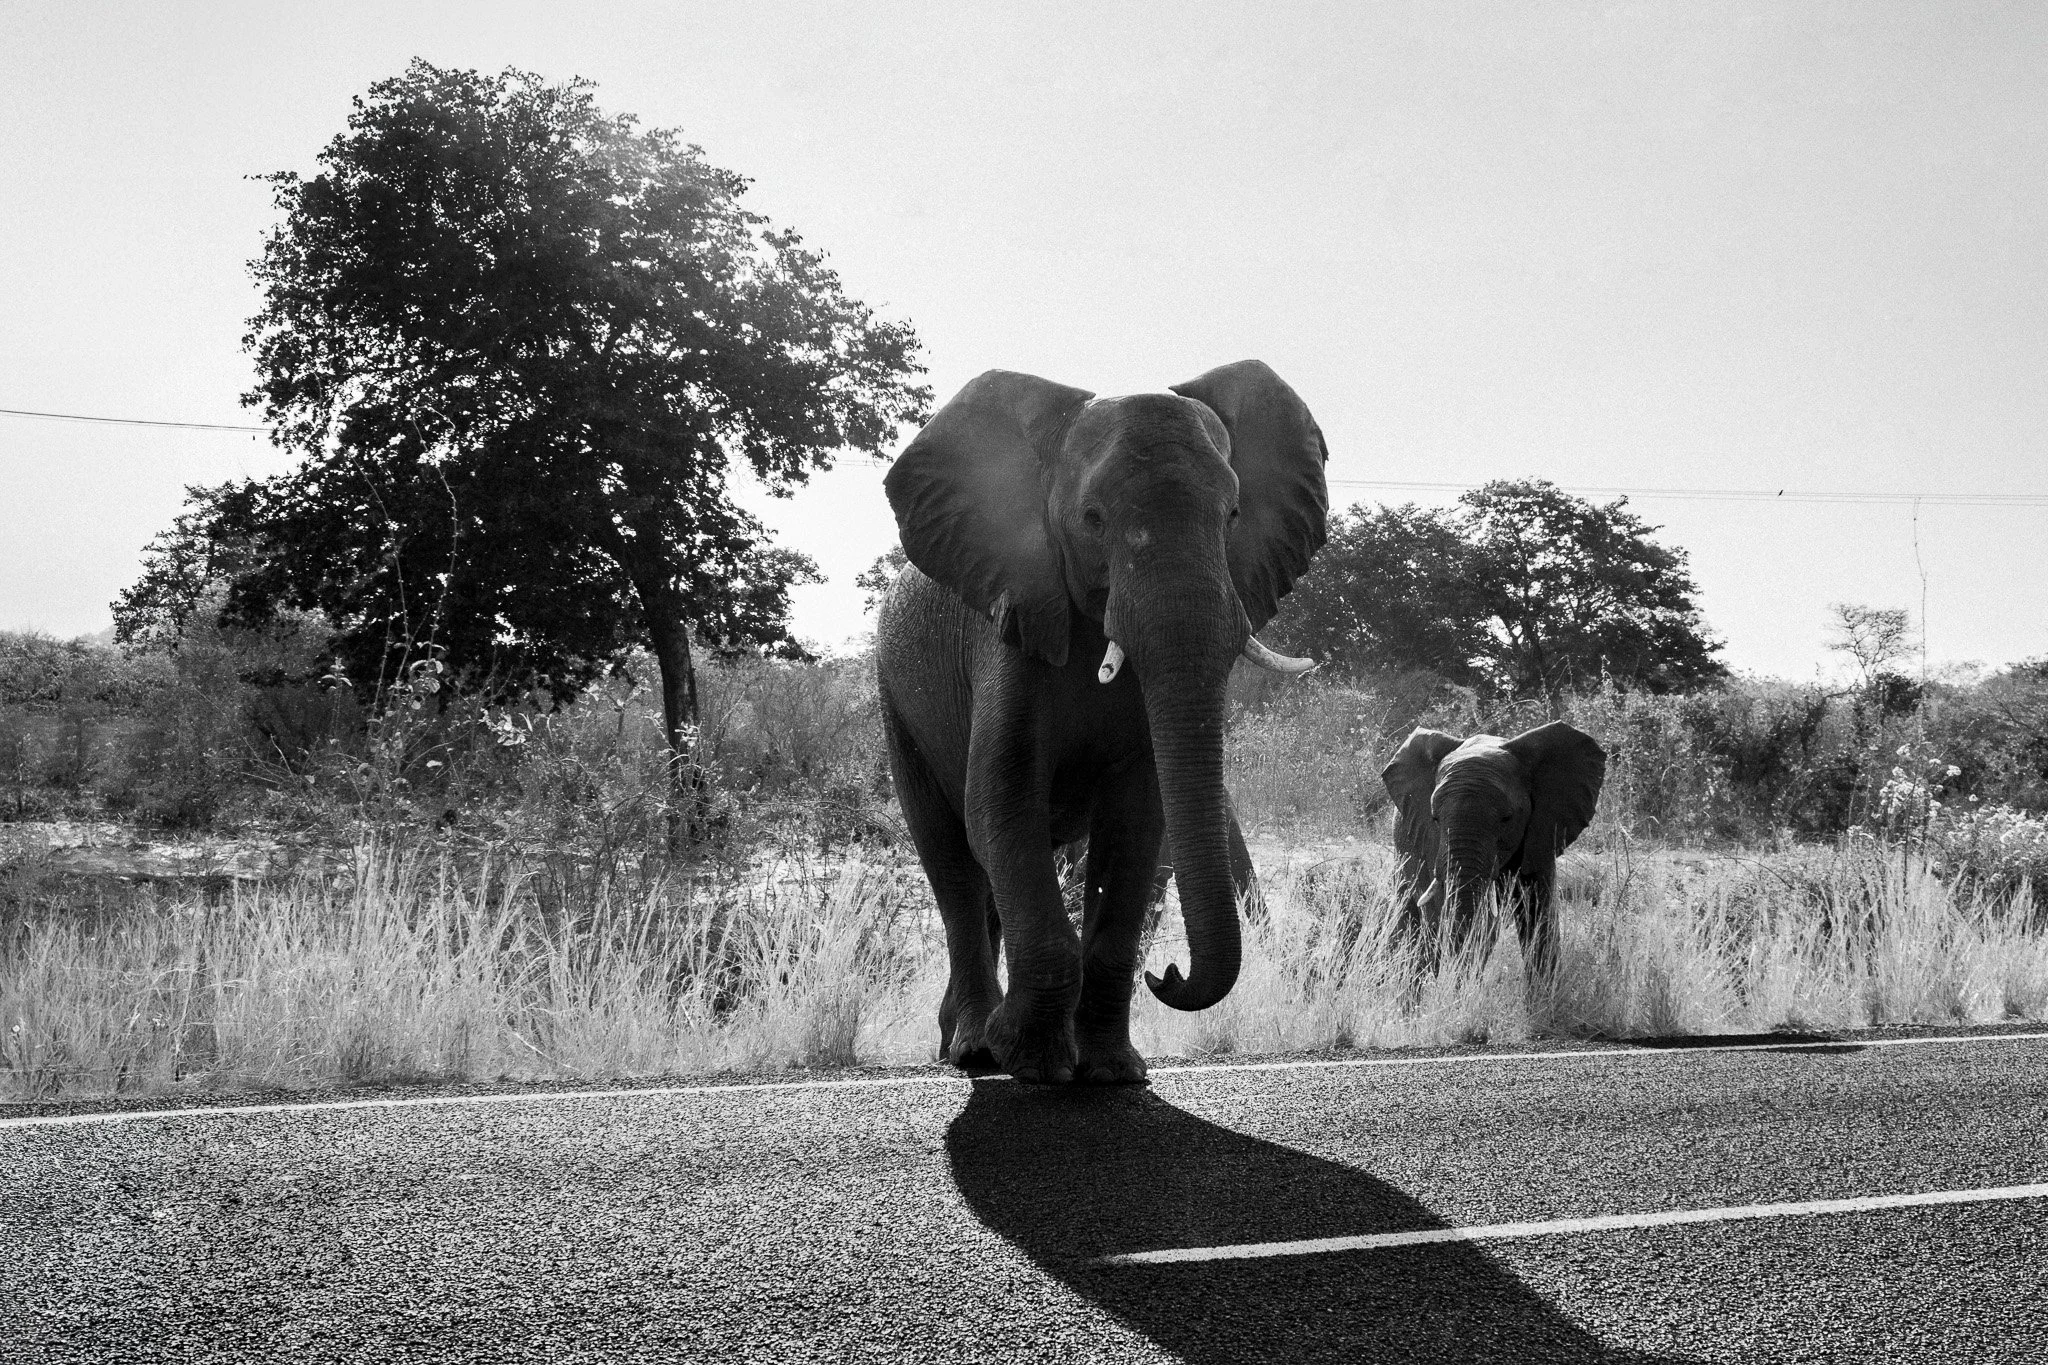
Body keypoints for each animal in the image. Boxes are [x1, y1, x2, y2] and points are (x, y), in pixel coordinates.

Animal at [876, 361, 1328, 1084]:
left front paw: (1114, 1072)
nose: (1168, 974)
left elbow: (1137, 821)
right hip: (897, 701)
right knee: (951, 859)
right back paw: (973, 1049)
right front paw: (1032, 1062)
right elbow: (1002, 802)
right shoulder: (1009, 626)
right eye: (1091, 518)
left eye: (1232, 514)